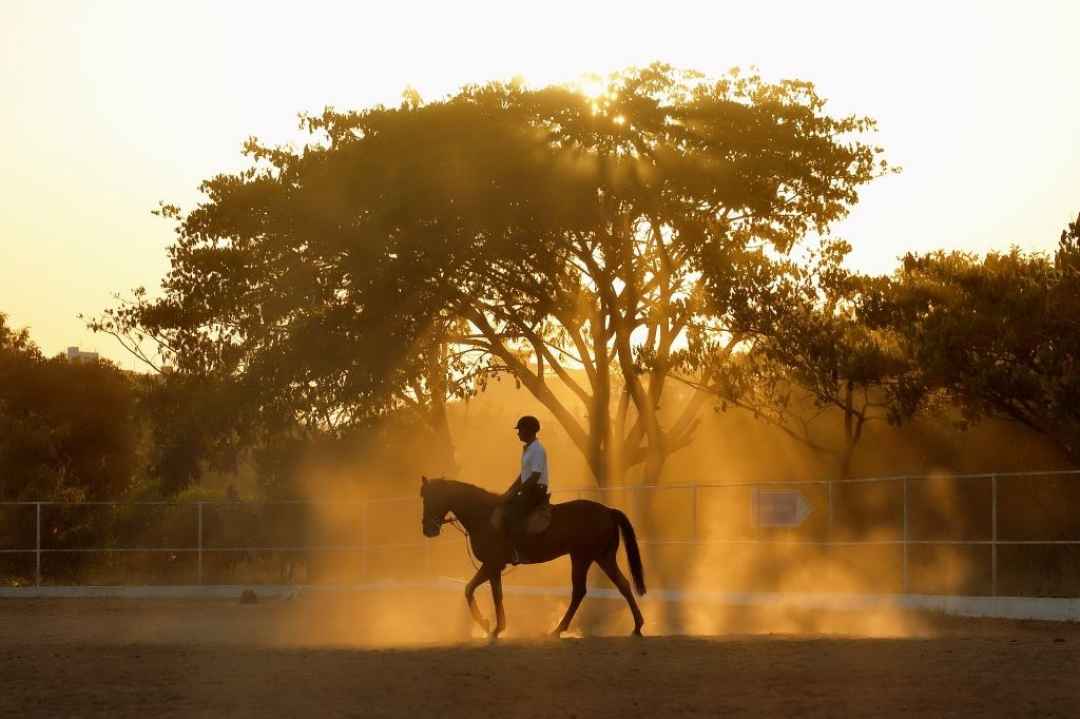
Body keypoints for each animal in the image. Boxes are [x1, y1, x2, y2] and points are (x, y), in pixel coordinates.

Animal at [416, 472, 643, 634]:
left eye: (431, 498)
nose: (428, 530)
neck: (483, 516)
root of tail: (608, 511)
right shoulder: (493, 566)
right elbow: (476, 590)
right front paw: (491, 625)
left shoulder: (492, 564)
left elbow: (485, 592)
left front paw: (493, 627)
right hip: (600, 557)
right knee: (621, 585)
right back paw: (637, 626)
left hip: (583, 557)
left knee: (581, 591)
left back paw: (558, 630)